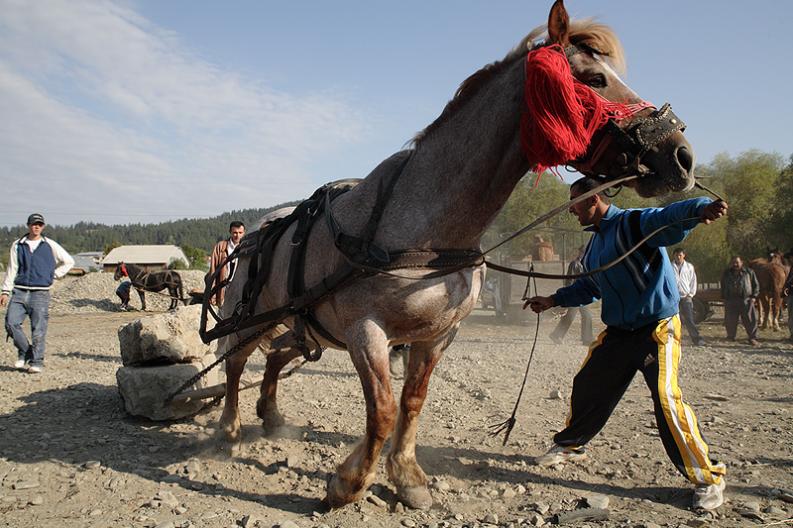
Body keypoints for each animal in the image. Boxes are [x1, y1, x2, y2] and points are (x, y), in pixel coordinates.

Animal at [215, 1, 692, 512]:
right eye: (595, 78)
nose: (681, 155)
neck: (427, 230)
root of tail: (259, 229)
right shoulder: (368, 333)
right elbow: (382, 411)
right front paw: (348, 483)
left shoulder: (437, 335)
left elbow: (412, 403)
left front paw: (406, 477)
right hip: (251, 315)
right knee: (235, 361)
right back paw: (229, 428)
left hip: (306, 327)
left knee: (274, 357)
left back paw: (270, 414)